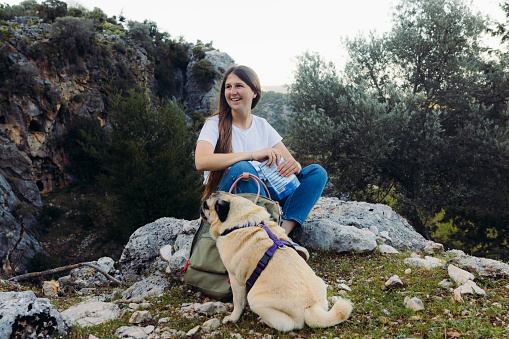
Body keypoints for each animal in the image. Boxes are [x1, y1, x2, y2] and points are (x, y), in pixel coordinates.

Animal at [200, 193, 352, 334]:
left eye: (206, 205)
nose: (201, 205)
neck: (243, 222)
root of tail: (311, 307)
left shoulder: (236, 279)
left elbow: (238, 303)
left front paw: (232, 318)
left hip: (255, 298)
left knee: (291, 324)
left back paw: (264, 321)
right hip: (320, 285)